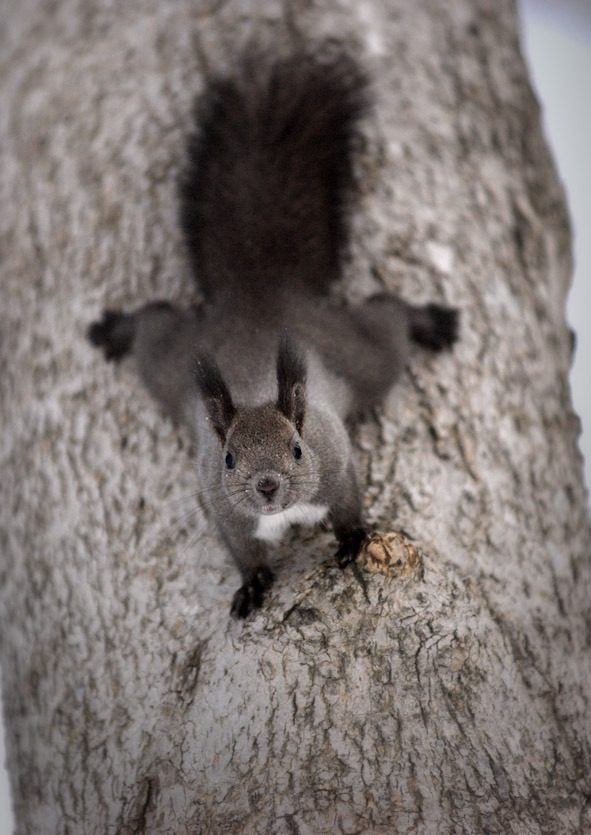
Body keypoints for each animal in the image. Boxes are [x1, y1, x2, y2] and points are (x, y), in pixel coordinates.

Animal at [88, 47, 460, 620]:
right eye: (229, 458)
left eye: (298, 449)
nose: (265, 486)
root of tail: (259, 293)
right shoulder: (219, 502)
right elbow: (240, 549)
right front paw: (252, 583)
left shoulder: (336, 459)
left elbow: (350, 501)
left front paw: (353, 537)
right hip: (170, 362)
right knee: (151, 324)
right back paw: (114, 330)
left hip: (361, 354)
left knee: (390, 319)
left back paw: (432, 322)